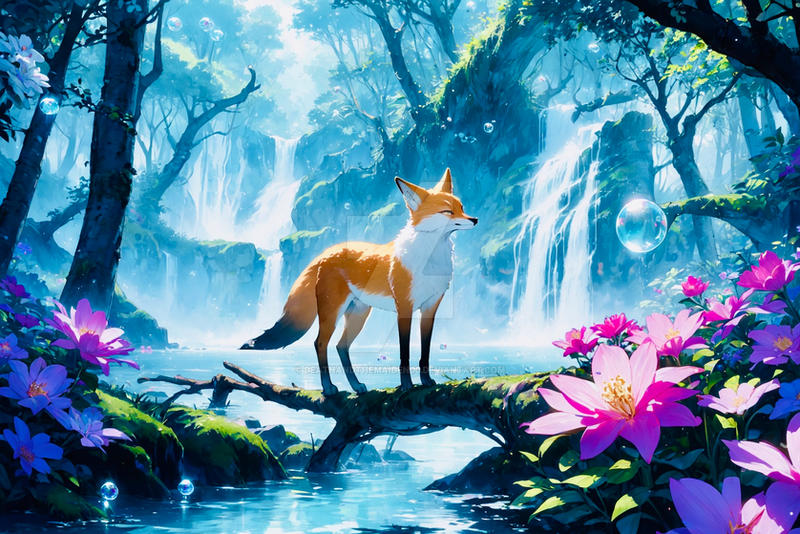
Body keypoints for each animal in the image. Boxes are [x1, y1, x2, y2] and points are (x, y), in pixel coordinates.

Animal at [240, 168, 477, 396]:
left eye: (462, 207)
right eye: (447, 211)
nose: (474, 220)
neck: (430, 262)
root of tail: (326, 253)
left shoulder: (430, 307)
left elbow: (425, 352)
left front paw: (426, 381)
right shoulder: (405, 307)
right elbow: (405, 354)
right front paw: (407, 385)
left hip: (358, 314)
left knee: (341, 346)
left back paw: (356, 386)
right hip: (332, 312)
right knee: (320, 343)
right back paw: (328, 388)